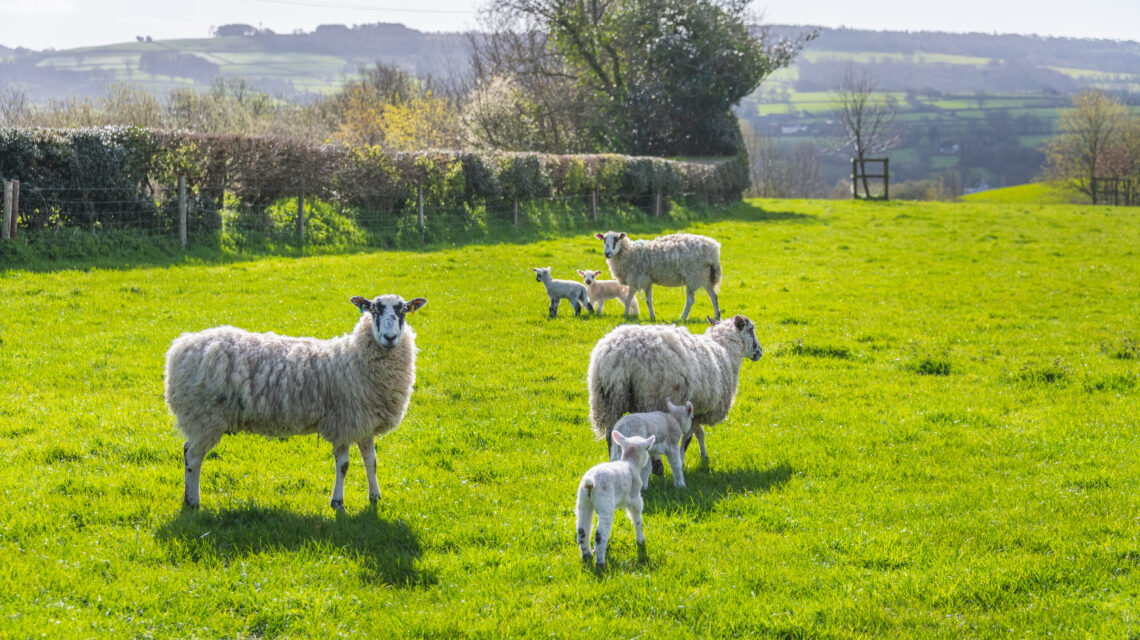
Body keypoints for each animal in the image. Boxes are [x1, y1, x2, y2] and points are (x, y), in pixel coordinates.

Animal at [164, 294, 427, 510]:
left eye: (404, 310)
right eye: (373, 309)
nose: (390, 337)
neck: (353, 358)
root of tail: (180, 347)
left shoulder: (364, 423)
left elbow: (371, 462)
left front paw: (375, 498)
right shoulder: (342, 422)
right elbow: (343, 465)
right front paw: (337, 503)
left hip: (202, 419)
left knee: (187, 451)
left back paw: (188, 499)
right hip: (204, 417)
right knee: (193, 456)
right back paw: (193, 501)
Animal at [575, 431, 656, 569]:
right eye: (647, 449)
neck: (630, 462)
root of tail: (590, 483)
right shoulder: (635, 499)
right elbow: (637, 519)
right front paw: (640, 539)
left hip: (583, 501)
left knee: (582, 530)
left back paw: (587, 556)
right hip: (605, 503)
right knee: (600, 535)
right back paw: (600, 563)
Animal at [587, 315, 763, 469]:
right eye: (751, 329)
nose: (760, 352)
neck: (724, 349)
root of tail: (619, 355)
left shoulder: (697, 409)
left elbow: (699, 433)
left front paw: (704, 457)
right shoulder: (698, 410)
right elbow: (687, 439)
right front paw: (682, 461)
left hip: (608, 400)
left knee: (611, 435)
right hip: (651, 397)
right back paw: (657, 466)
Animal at [593, 230, 722, 321]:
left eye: (616, 239)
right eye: (604, 240)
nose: (607, 253)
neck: (630, 253)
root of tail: (714, 250)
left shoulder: (637, 279)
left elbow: (629, 299)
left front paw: (625, 314)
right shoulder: (647, 280)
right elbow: (647, 300)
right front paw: (652, 317)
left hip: (693, 275)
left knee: (690, 300)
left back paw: (683, 317)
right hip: (705, 276)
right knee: (713, 296)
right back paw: (717, 316)